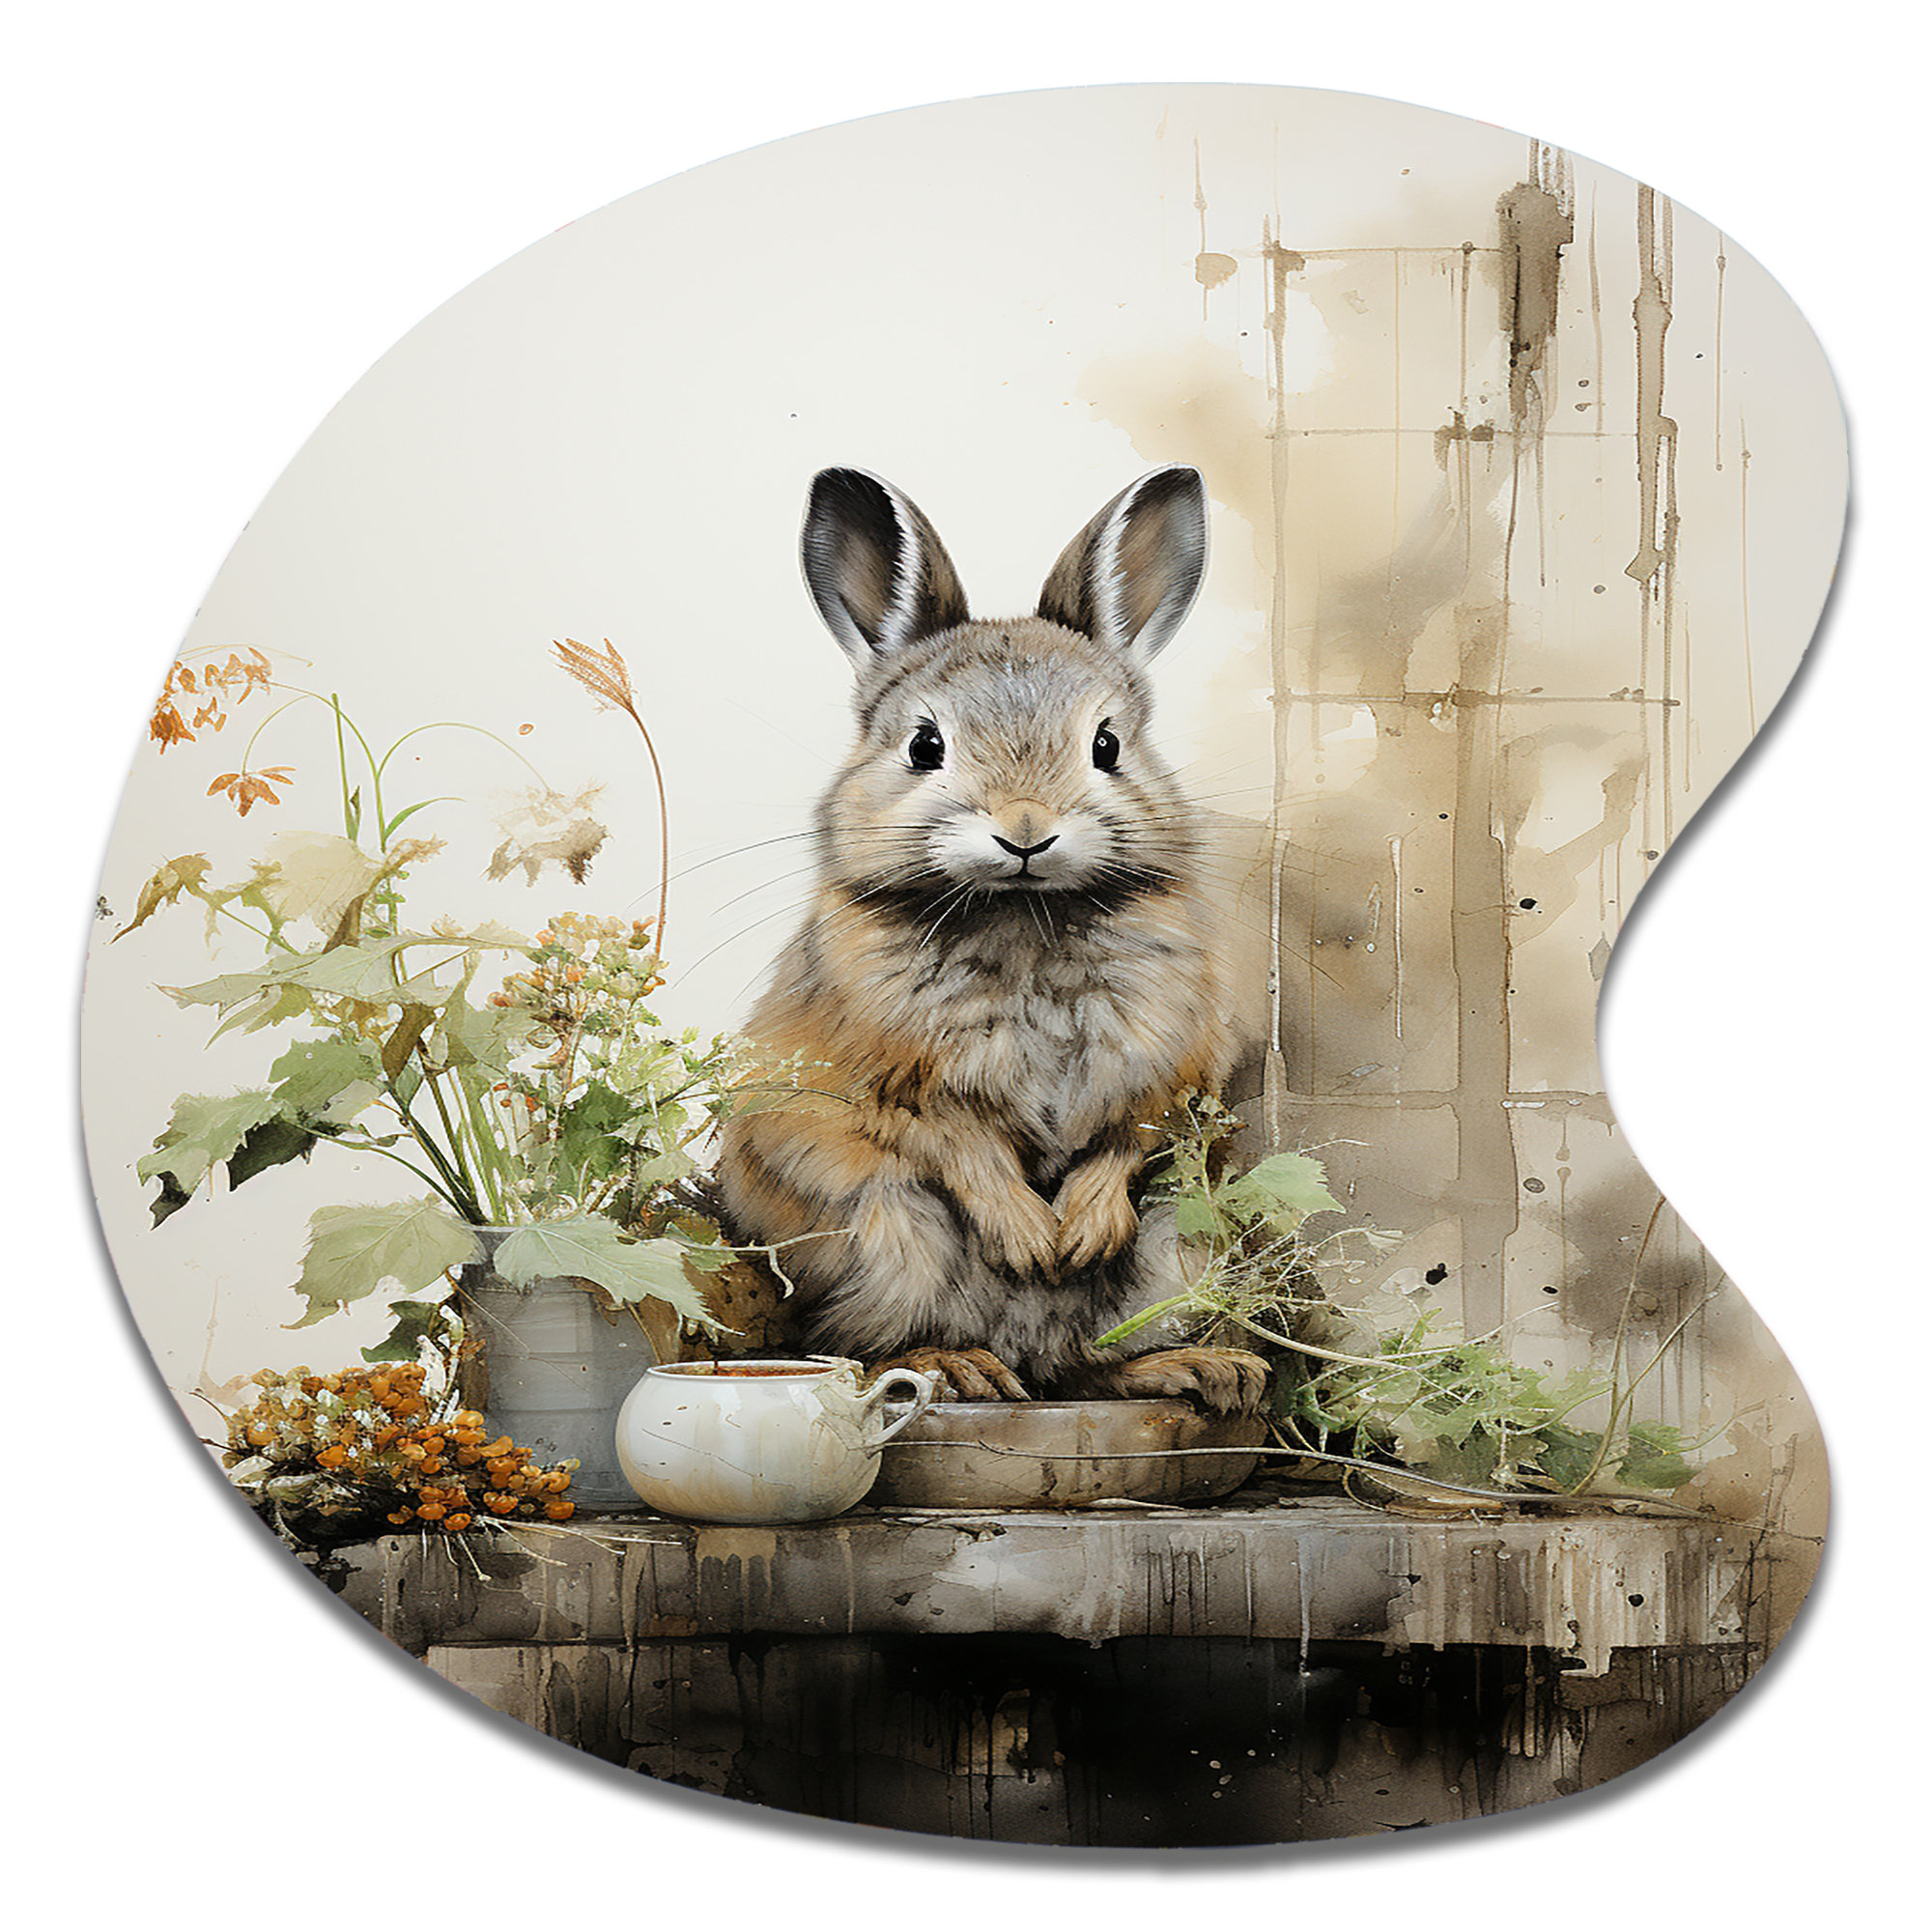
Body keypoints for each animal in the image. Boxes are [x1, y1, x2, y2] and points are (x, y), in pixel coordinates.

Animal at [715, 464, 1268, 1415]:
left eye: (1107, 745)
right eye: (924, 744)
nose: (1026, 832)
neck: (1022, 917)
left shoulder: (1171, 1072)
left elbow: (1126, 1140)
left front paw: (1077, 1234)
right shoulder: (898, 1084)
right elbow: (961, 1147)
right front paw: (1031, 1239)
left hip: (1178, 1248)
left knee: (1088, 1364)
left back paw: (1207, 1370)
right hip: (887, 1234)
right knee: (872, 1345)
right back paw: (962, 1367)